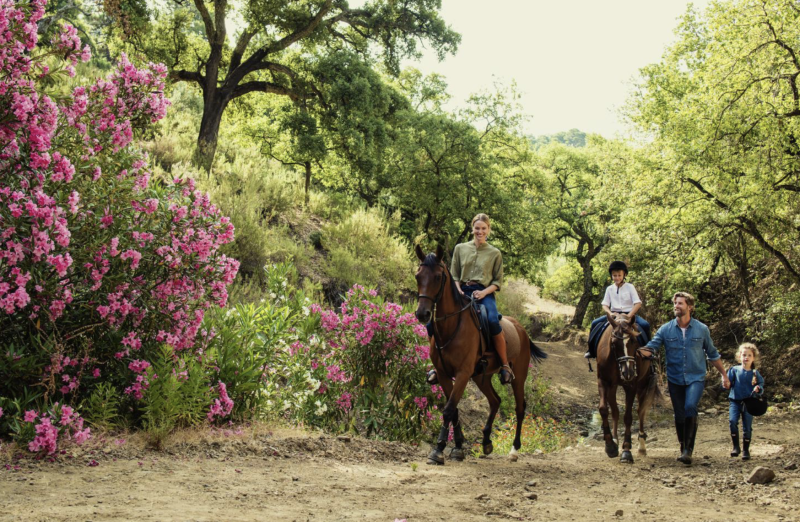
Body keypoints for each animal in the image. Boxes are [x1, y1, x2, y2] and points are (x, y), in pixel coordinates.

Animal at [416, 245, 548, 464]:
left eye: (437, 277)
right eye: (418, 276)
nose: (422, 314)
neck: (452, 326)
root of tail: (521, 328)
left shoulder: (462, 373)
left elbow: (449, 409)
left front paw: (439, 449)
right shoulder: (443, 374)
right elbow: (454, 410)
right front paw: (458, 447)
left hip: (519, 377)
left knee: (520, 408)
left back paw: (514, 450)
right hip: (481, 377)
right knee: (495, 401)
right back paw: (486, 441)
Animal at [592, 310, 664, 462]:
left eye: (634, 341)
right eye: (614, 343)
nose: (628, 372)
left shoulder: (631, 386)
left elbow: (628, 417)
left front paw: (626, 450)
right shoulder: (603, 382)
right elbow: (603, 410)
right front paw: (610, 446)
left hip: (642, 386)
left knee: (640, 411)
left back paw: (641, 446)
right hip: (613, 387)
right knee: (615, 411)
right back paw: (615, 439)